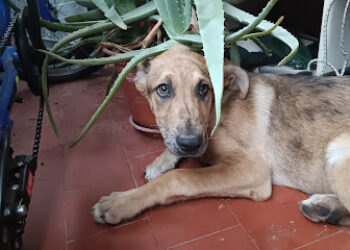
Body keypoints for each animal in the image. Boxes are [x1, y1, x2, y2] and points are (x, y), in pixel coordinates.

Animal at [93, 45, 350, 227]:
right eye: (163, 89)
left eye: (203, 88)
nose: (191, 144)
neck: (216, 114)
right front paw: (161, 161)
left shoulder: (253, 170)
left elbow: (179, 178)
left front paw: (120, 202)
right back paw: (327, 209)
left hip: (337, 151)